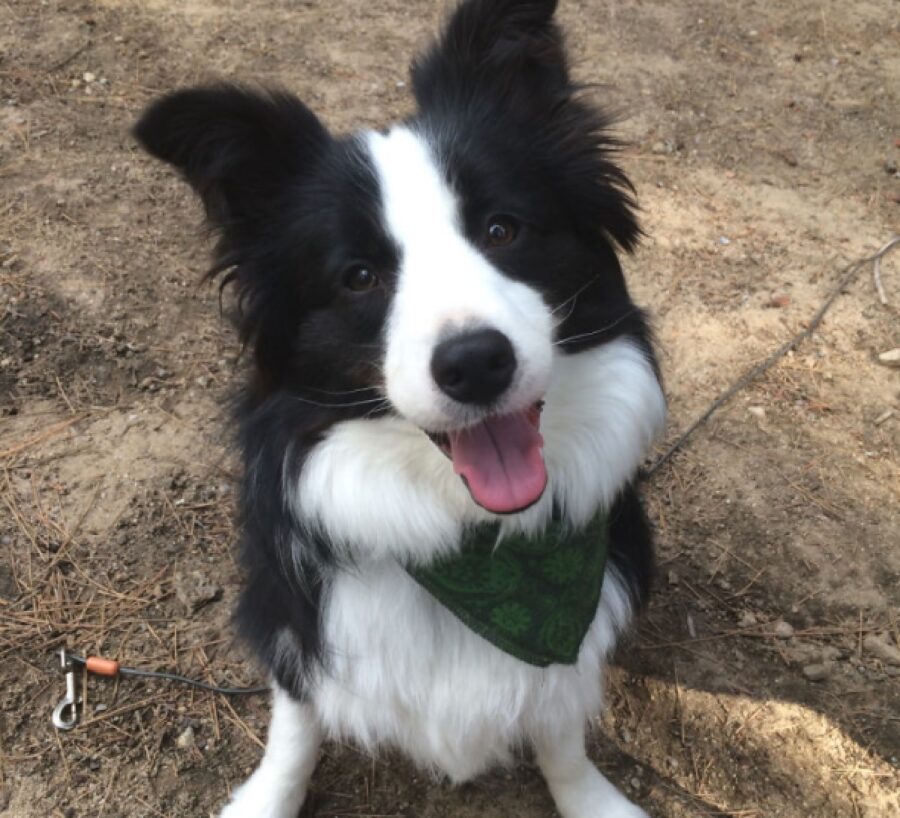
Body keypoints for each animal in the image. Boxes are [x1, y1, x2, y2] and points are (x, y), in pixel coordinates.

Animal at [135, 1, 668, 816]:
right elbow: (295, 723)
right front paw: (267, 797)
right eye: (358, 276)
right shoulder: (292, 611)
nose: (475, 363)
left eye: (502, 229)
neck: (464, 540)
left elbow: (560, 726)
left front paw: (590, 799)